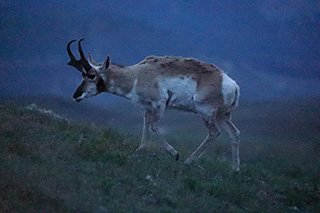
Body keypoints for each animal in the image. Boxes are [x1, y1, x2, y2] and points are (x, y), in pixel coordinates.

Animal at [66, 38, 240, 171]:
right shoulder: (147, 108)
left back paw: (188, 161)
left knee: (214, 132)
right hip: (223, 116)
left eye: (91, 75)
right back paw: (235, 170)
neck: (137, 74)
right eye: (82, 75)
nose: (76, 96)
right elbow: (146, 124)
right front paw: (140, 149)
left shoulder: (158, 105)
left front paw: (175, 154)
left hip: (206, 113)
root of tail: (232, 84)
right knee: (234, 133)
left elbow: (154, 126)